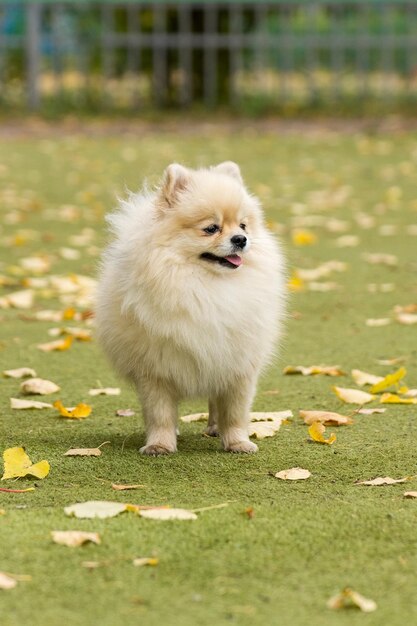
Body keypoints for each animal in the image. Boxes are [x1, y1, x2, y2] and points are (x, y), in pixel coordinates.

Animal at [96, 161, 286, 454]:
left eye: (243, 225)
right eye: (211, 228)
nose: (241, 239)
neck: (207, 286)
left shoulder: (237, 363)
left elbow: (235, 411)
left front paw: (238, 442)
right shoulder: (155, 368)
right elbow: (160, 412)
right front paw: (160, 445)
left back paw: (215, 428)